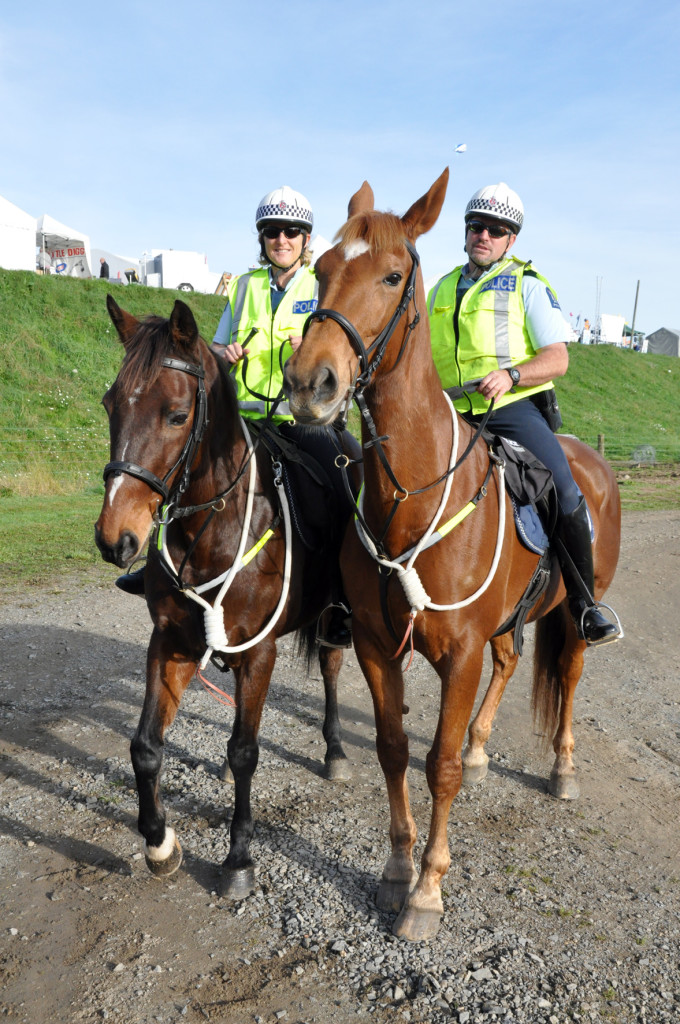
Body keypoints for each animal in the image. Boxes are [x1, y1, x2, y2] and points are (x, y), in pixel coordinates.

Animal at [95, 294, 352, 897]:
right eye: (110, 405)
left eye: (176, 415)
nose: (116, 538)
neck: (215, 528)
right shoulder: (171, 643)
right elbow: (145, 747)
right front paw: (160, 843)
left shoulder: (260, 653)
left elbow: (244, 752)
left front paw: (238, 857)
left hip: (332, 618)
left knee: (331, 667)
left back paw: (334, 749)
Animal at [280, 169, 622, 942]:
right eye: (322, 269)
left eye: (391, 274)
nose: (310, 383)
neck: (411, 497)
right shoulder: (377, 646)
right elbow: (394, 750)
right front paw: (396, 869)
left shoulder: (459, 654)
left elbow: (437, 766)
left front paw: (428, 892)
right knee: (511, 661)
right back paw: (482, 744)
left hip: (574, 616)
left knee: (569, 675)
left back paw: (560, 769)